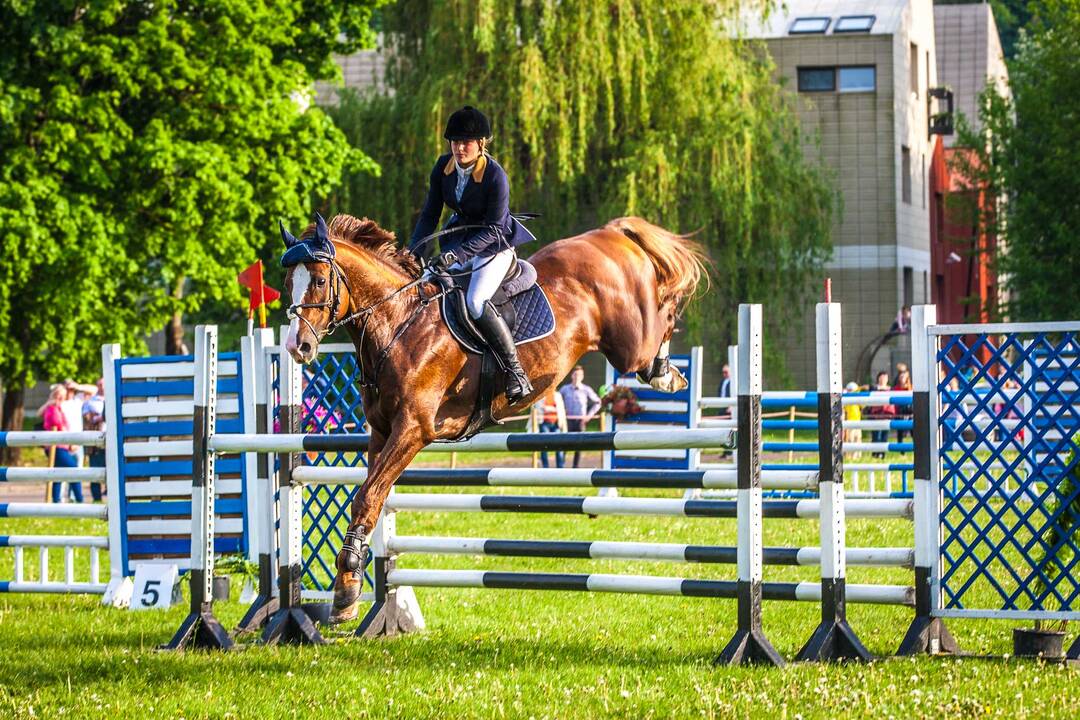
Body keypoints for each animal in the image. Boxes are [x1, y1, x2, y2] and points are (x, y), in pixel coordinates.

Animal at [280, 211, 708, 621]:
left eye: (319, 280)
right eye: (288, 282)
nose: (297, 347)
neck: (399, 324)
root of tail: (609, 233)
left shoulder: (413, 430)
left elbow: (366, 497)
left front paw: (347, 585)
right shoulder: (382, 432)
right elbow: (370, 499)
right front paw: (347, 592)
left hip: (628, 344)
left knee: (663, 316)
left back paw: (666, 371)